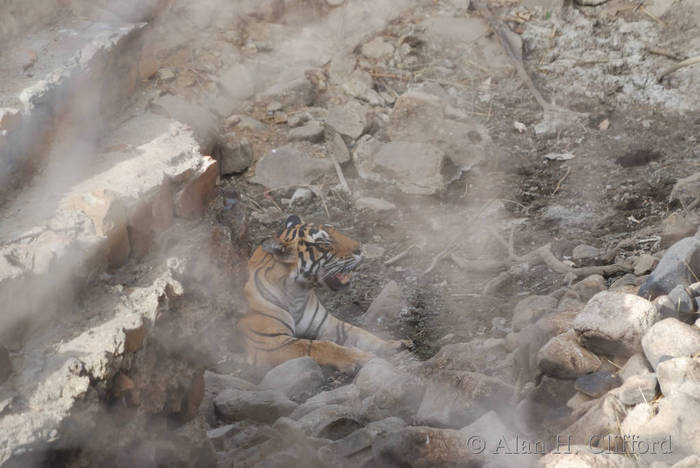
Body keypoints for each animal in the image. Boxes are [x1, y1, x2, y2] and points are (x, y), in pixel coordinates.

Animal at [237, 215, 409, 372]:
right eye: (325, 243)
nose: (360, 249)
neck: (296, 294)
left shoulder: (328, 324)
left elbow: (362, 334)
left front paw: (393, 345)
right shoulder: (270, 342)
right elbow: (318, 346)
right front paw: (360, 357)